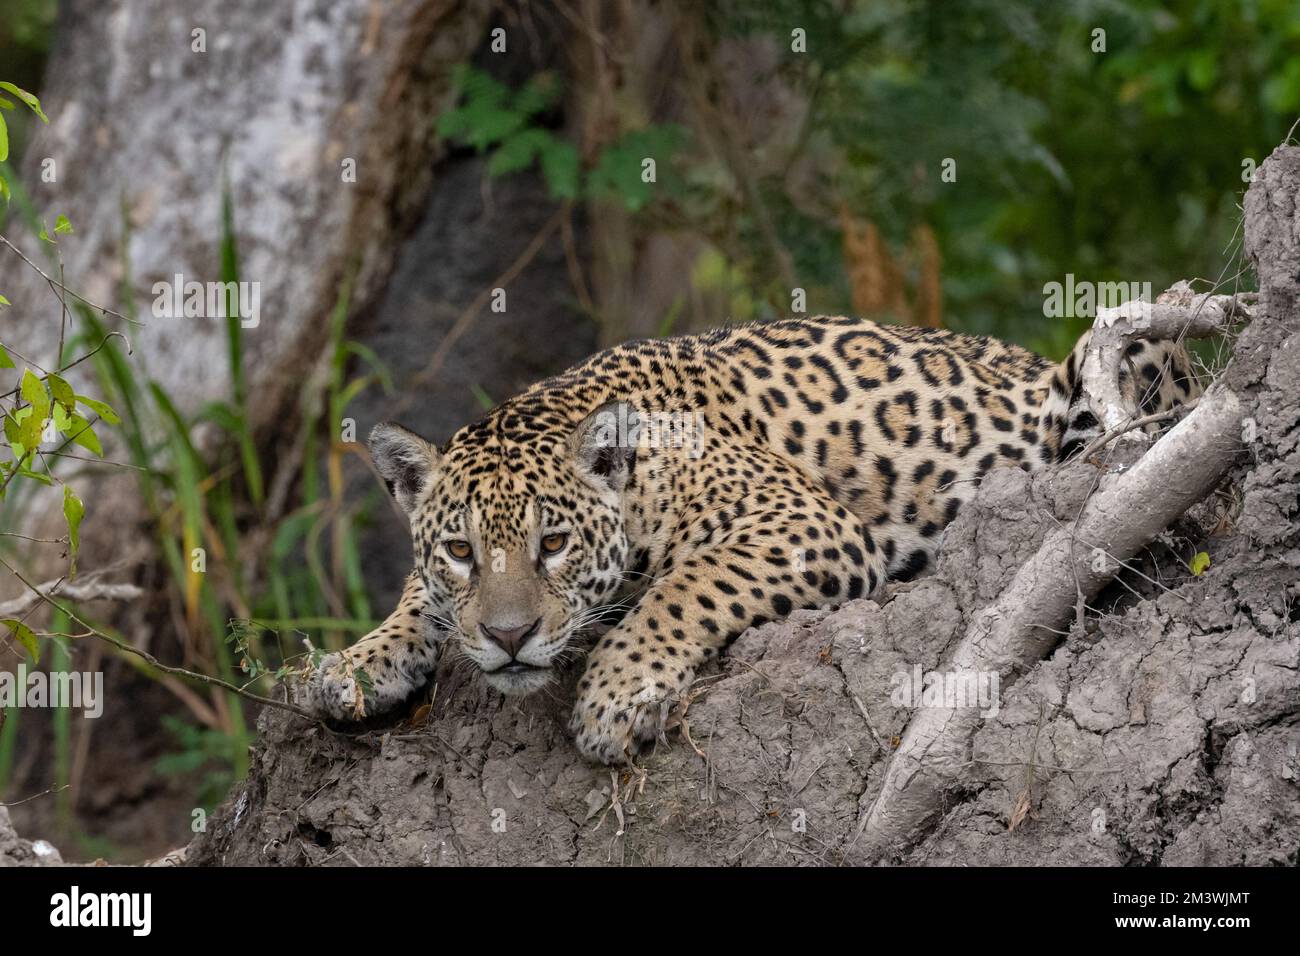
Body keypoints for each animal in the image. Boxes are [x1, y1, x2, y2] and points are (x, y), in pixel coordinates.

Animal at [301, 315, 1198, 764]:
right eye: (460, 553)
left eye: (552, 544)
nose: (510, 636)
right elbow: (415, 599)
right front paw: (354, 664)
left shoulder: (805, 522)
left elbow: (683, 587)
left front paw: (612, 700)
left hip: (1129, 352)